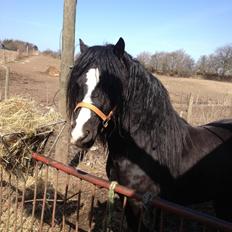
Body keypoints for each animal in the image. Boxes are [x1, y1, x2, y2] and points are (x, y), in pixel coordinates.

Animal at [66, 37, 232, 230]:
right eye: (79, 83)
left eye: (112, 86)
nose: (79, 134)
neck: (144, 148)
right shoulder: (125, 197)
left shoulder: (139, 203)